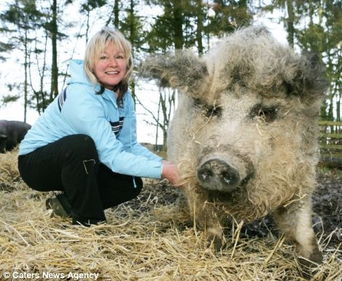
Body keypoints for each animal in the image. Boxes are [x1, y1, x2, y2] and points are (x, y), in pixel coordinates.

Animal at [140, 26, 328, 270]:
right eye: (212, 109)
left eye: (264, 112)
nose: (217, 162)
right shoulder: (189, 178)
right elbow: (208, 219)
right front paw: (213, 247)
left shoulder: (301, 180)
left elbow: (301, 225)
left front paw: (314, 264)